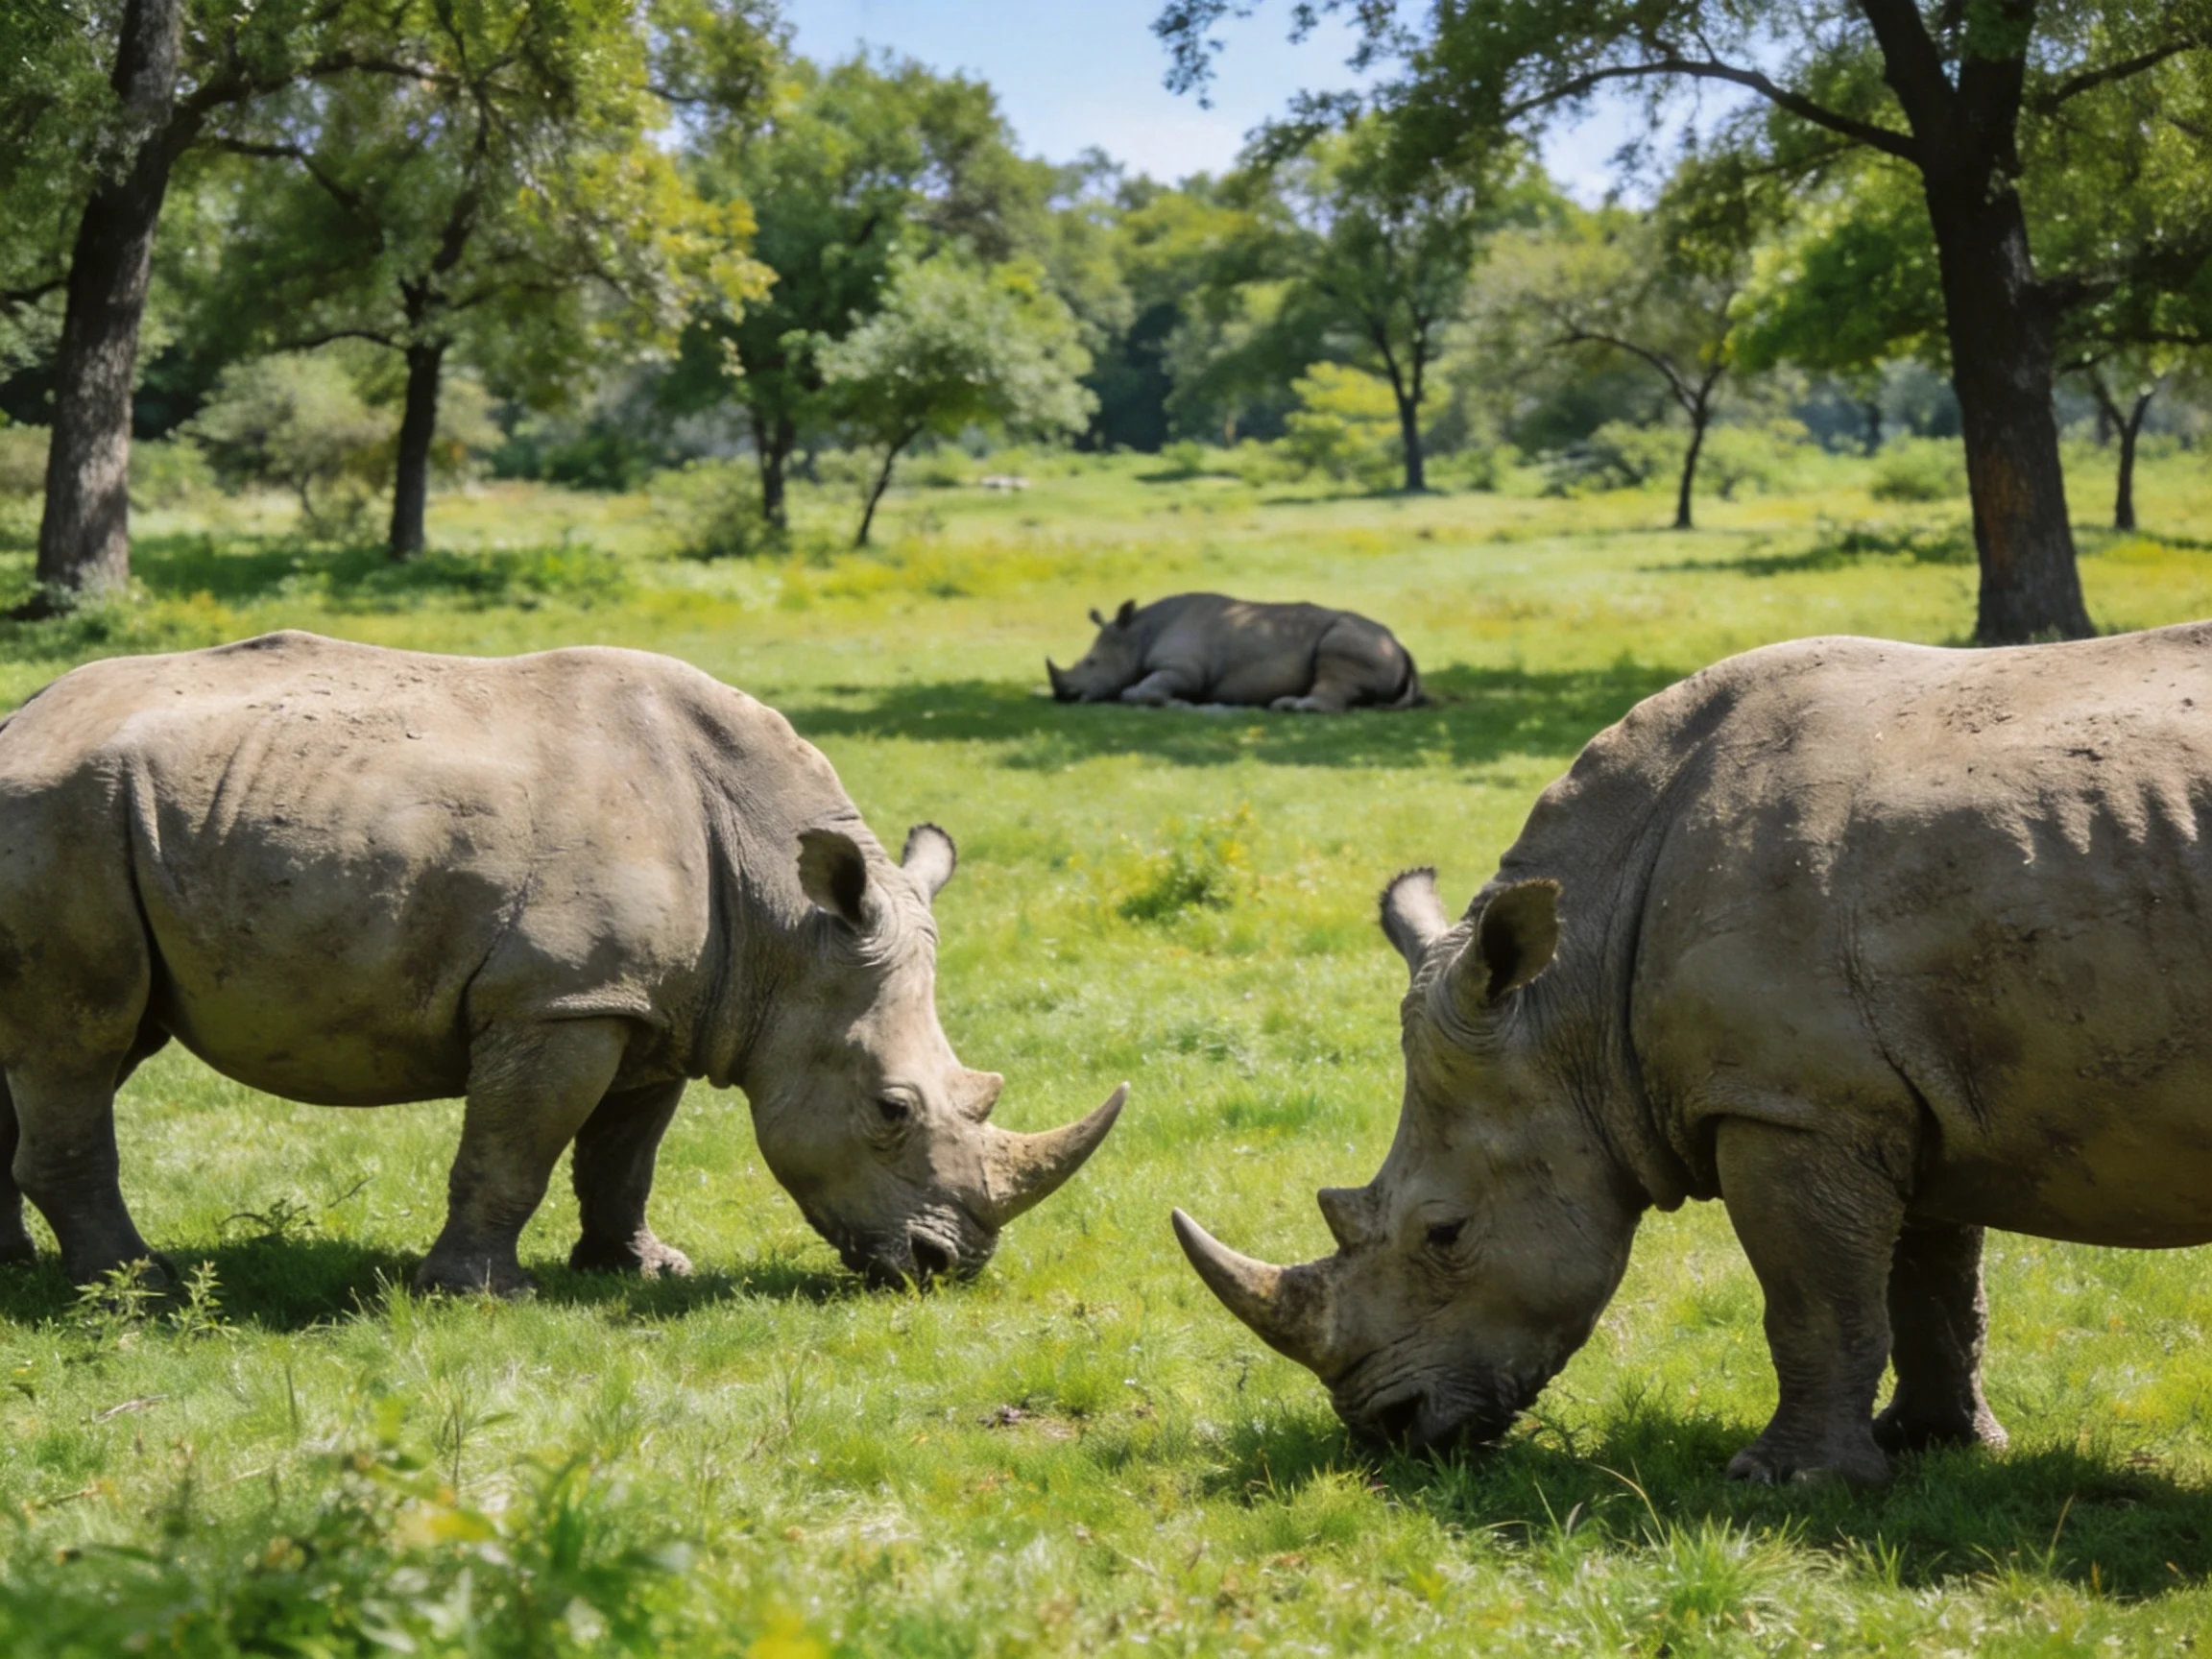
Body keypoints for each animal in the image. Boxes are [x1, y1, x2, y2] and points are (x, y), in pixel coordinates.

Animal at [0, 631, 1122, 1296]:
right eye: (892, 1110)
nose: (948, 1265)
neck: (789, 925)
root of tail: (22, 716)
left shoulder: (659, 1005)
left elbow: (624, 1154)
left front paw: (645, 1270)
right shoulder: (560, 1000)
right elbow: (516, 1150)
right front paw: (478, 1294)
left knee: (54, 1048)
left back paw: (20, 1273)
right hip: (64, 817)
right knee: (81, 1039)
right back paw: (137, 1287)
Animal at [1047, 594, 1424, 711]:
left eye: (1092, 663)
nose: (1064, 696)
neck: (1137, 633)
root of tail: (1402, 647)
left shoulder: (1182, 668)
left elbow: (1135, 690)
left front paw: (1174, 702)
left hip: (1358, 637)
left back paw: (1290, 707)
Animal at [1176, 621, 2212, 1483]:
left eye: (1446, 1235)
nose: (1383, 1429)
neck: (1573, 994)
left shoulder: (1790, 1102)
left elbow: (1813, 1300)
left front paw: (1789, 1482)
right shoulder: (1900, 1083)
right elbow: (1933, 1283)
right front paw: (1934, 1447)